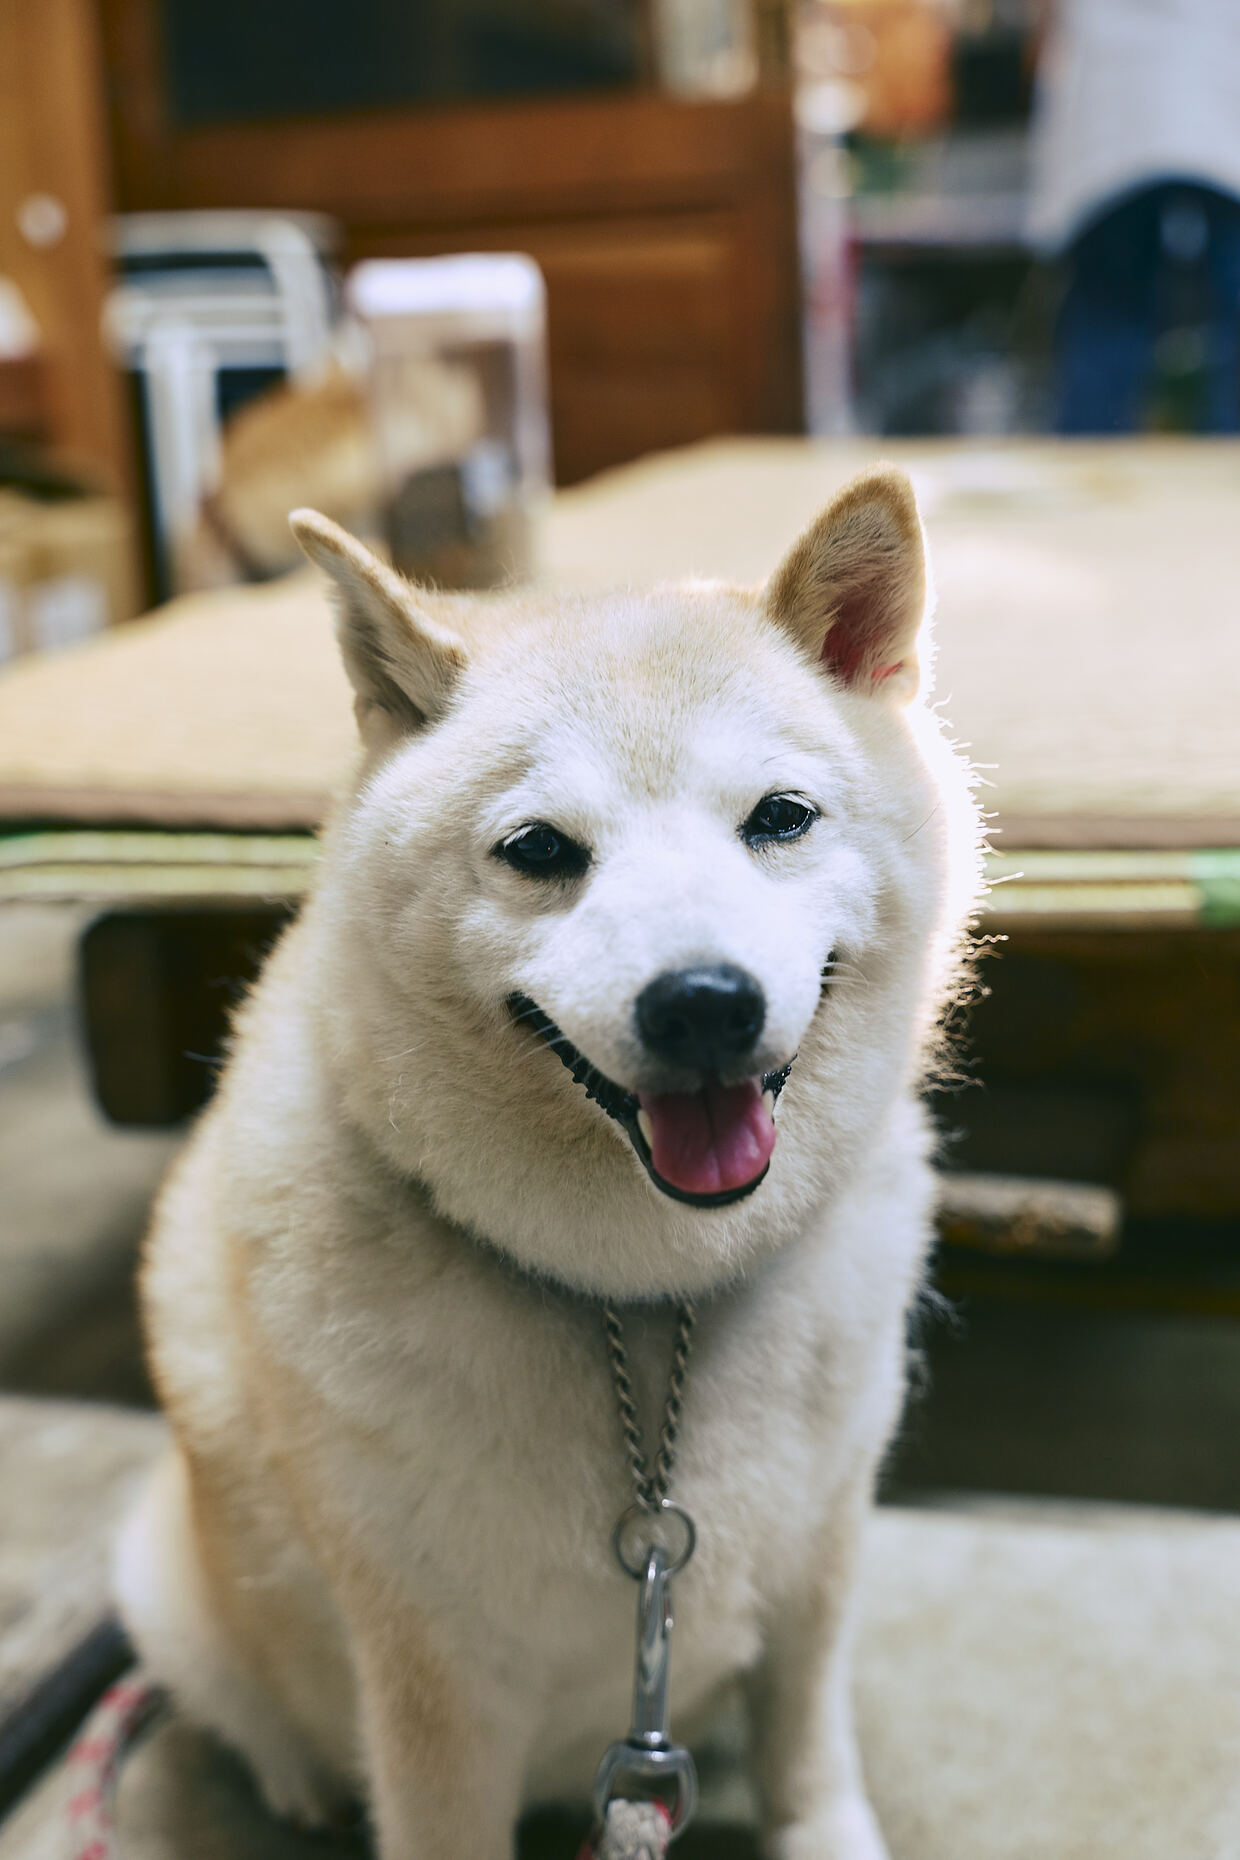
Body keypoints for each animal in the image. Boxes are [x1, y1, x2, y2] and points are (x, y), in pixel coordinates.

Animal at [120, 468, 981, 1860]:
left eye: (780, 820)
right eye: (538, 850)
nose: (704, 1006)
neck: (642, 1300)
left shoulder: (818, 1561)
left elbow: (807, 1749)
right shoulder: (434, 1687)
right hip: (168, 1578)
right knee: (244, 1706)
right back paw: (299, 1783)